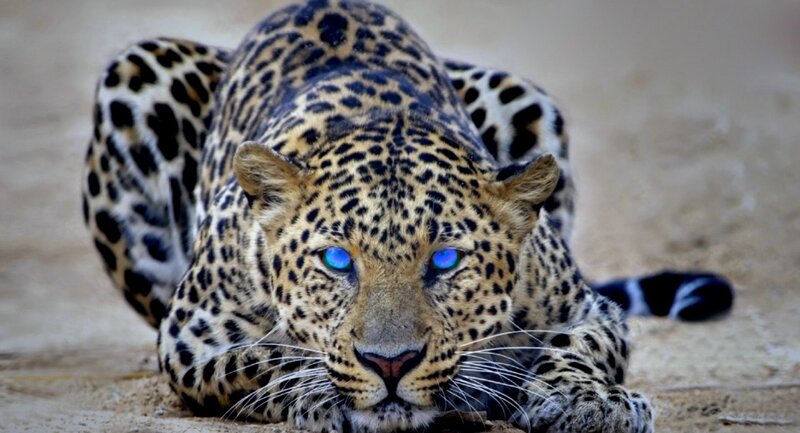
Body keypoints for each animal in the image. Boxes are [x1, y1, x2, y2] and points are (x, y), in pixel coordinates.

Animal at [82, 1, 734, 432]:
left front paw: (588, 401)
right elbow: (268, 356)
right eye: (336, 260)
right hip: (134, 76)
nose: (390, 364)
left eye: (444, 261)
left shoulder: (586, 308)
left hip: (521, 93)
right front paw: (323, 392)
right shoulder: (190, 337)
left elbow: (578, 344)